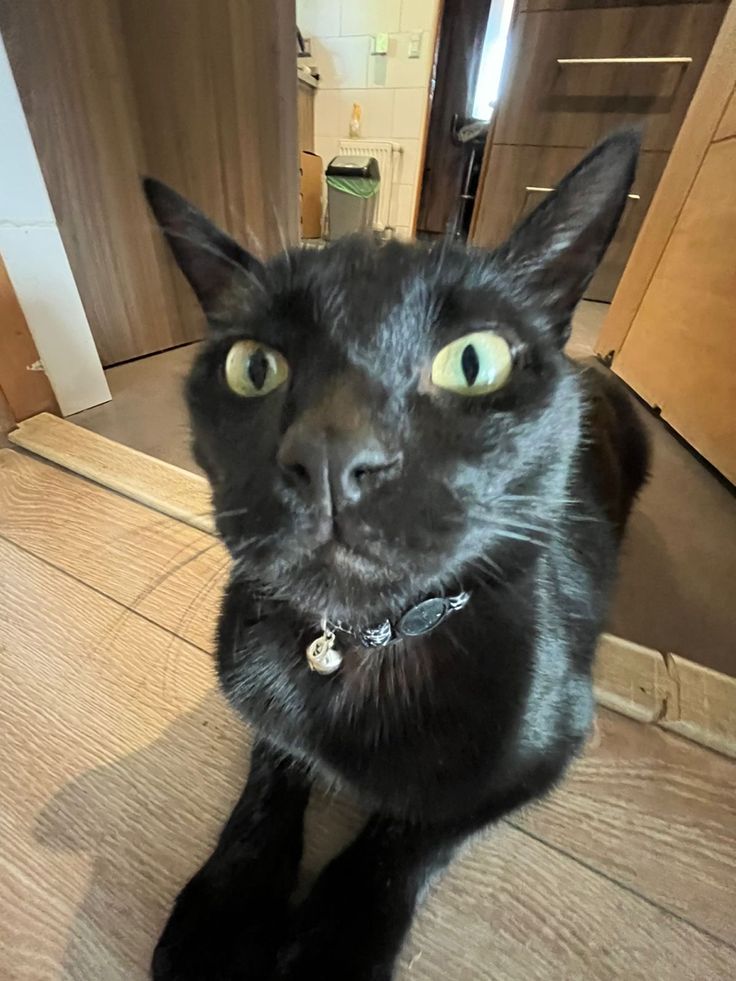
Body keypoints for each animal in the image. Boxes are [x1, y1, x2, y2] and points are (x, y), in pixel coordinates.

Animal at [145, 132, 648, 980]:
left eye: (474, 362)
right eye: (253, 365)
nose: (331, 452)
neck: (361, 647)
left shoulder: (551, 745)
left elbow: (410, 833)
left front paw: (333, 942)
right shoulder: (261, 692)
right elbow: (271, 775)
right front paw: (223, 914)